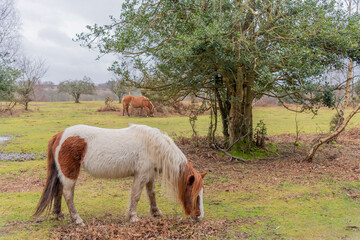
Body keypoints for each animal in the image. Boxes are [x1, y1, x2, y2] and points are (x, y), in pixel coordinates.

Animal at [32, 124, 207, 225]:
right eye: (194, 194)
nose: (198, 215)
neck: (154, 146)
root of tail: (60, 135)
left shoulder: (149, 175)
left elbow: (151, 194)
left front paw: (156, 213)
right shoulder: (141, 175)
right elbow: (136, 196)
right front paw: (133, 217)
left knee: (58, 190)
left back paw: (58, 214)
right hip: (70, 174)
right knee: (68, 194)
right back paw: (77, 219)